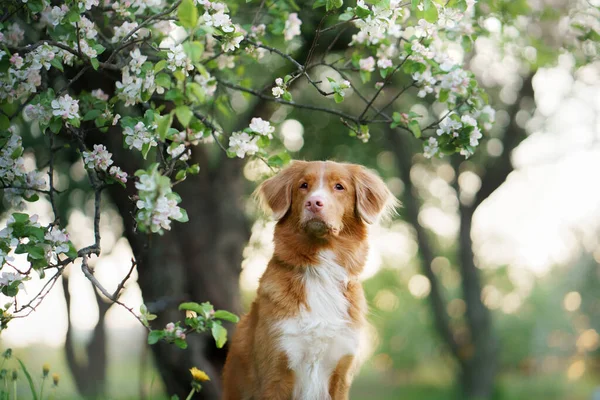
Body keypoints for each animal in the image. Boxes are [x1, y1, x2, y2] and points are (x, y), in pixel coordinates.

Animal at [223, 161, 396, 398]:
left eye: (339, 187)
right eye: (303, 185)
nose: (314, 203)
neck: (320, 269)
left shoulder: (340, 373)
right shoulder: (276, 372)